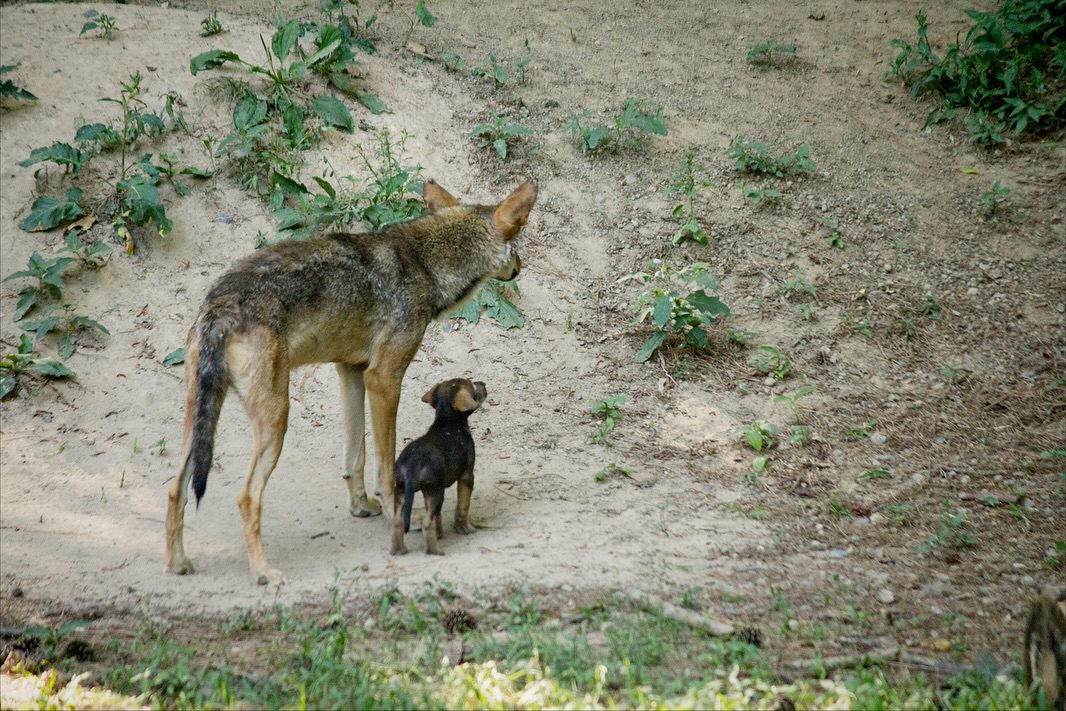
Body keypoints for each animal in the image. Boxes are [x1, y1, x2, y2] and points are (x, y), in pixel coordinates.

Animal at [164, 180, 537, 584]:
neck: (425, 262)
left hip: (200, 422)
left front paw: (360, 506)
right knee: (246, 496)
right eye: (517, 244)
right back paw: (264, 572)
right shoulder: (384, 379)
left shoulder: (351, 372)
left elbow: (354, 456)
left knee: (175, 489)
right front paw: (394, 512)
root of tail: (219, 305)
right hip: (277, 420)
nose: (520, 267)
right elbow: (385, 465)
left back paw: (177, 564)